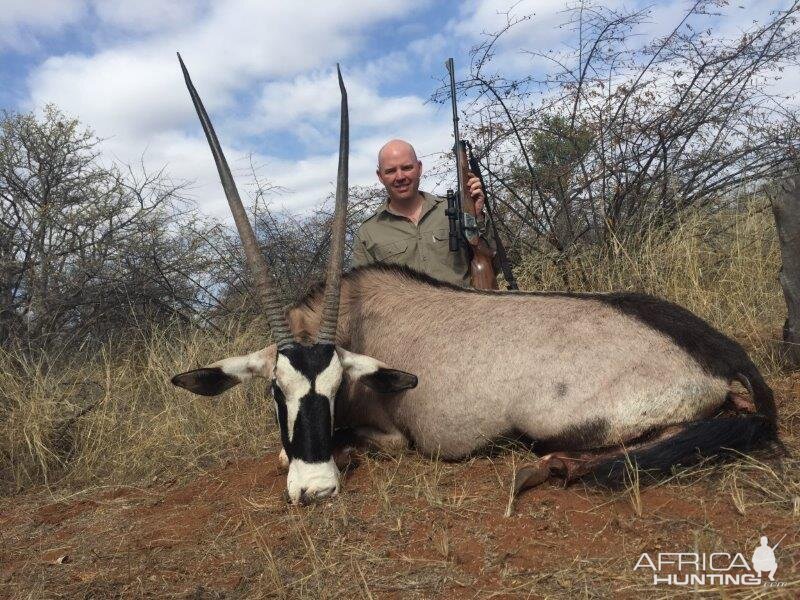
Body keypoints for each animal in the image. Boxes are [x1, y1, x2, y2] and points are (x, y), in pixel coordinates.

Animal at [172, 56, 780, 506]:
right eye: (277, 391)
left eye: (337, 387)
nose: (315, 490)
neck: (357, 318)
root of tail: (723, 355)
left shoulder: (394, 436)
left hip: (566, 420)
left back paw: (553, 468)